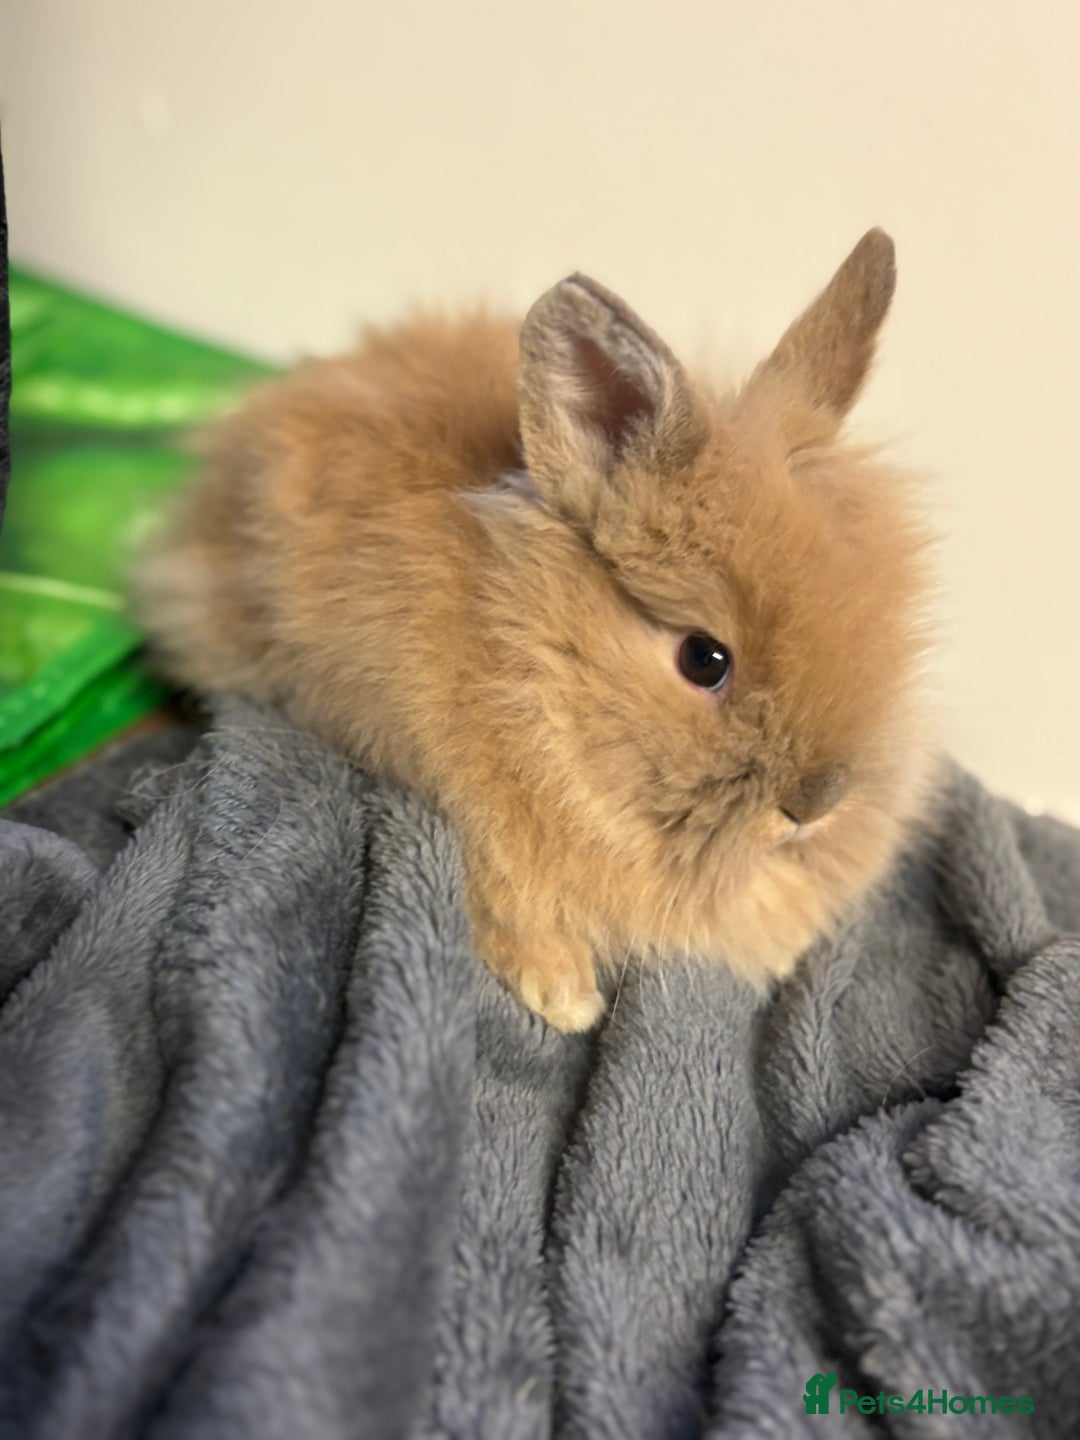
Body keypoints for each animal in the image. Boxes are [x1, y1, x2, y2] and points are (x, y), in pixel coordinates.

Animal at [134, 229, 935, 1032]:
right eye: (704, 659)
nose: (816, 807)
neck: (541, 670)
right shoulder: (467, 818)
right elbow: (505, 903)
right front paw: (563, 998)